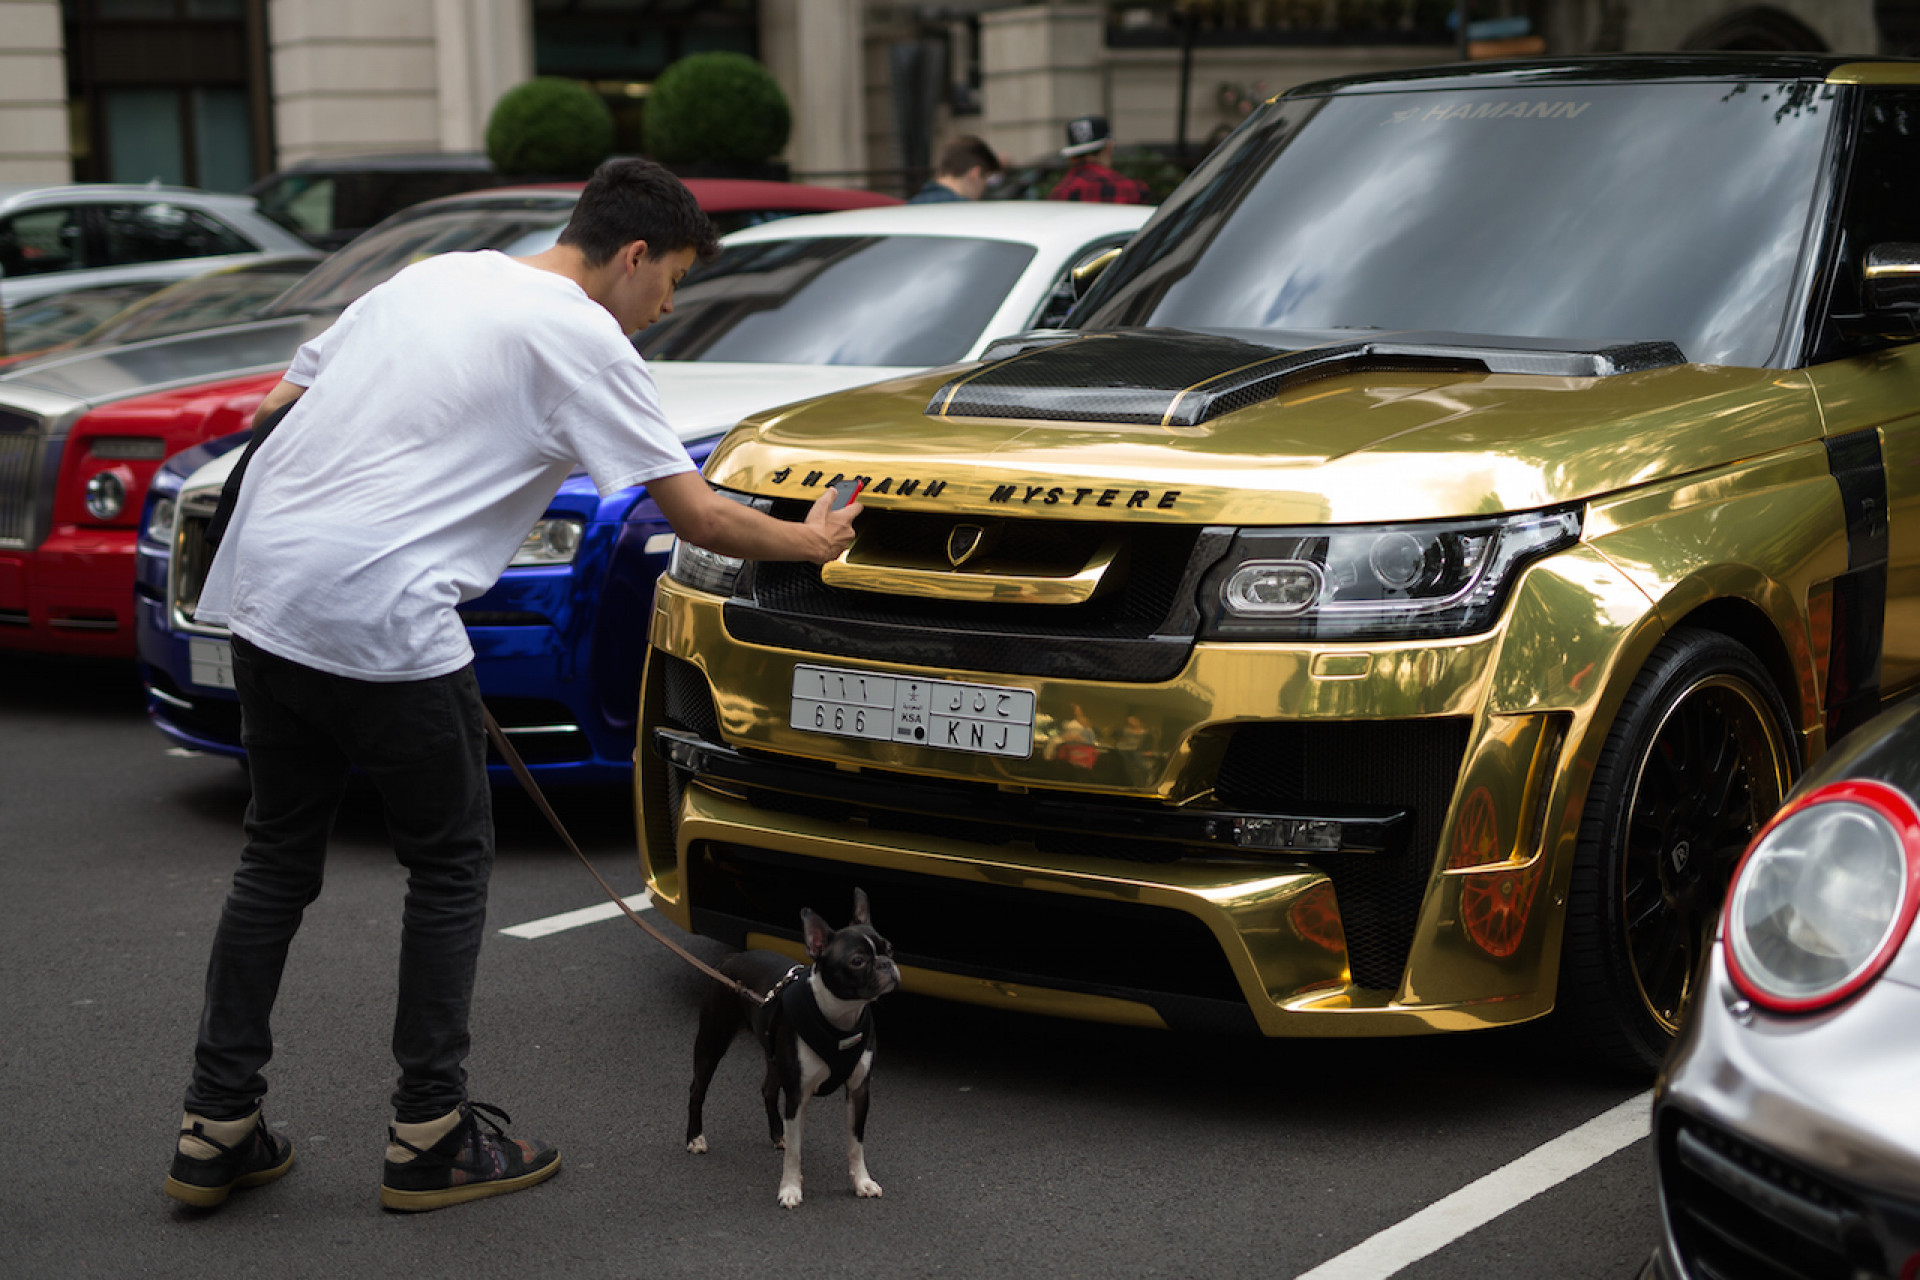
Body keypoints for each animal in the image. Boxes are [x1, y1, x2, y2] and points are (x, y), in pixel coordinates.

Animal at [687, 890, 902, 1212]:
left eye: (889, 948)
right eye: (858, 961)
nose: (886, 963)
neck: (838, 1019)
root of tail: (732, 957)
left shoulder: (858, 1091)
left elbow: (856, 1144)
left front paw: (862, 1182)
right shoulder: (798, 1093)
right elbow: (796, 1152)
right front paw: (790, 1189)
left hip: (774, 1058)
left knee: (767, 1089)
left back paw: (779, 1134)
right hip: (712, 1042)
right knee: (697, 1089)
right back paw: (695, 1137)